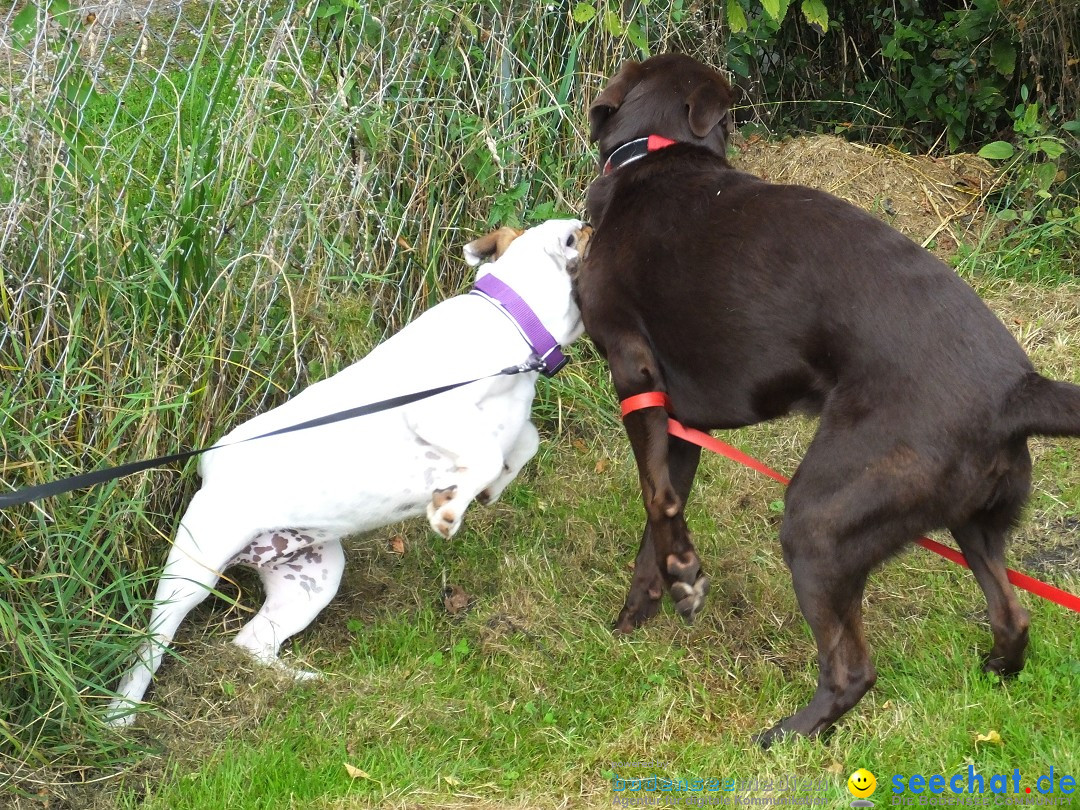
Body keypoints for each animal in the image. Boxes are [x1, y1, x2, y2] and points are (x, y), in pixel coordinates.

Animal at [109, 219, 591, 725]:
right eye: (588, 233)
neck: (513, 322)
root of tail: (213, 464)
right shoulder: (434, 409)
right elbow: (486, 455)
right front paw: (450, 509)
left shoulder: (511, 422)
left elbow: (522, 445)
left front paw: (486, 490)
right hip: (193, 572)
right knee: (149, 649)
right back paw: (120, 715)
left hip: (313, 579)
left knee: (251, 643)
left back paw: (302, 681)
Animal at [578, 52, 1080, 747]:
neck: (652, 153)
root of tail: (1016, 390)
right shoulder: (678, 425)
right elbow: (657, 525)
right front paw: (648, 607)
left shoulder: (634, 371)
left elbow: (656, 500)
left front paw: (676, 578)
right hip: (971, 520)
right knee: (1013, 616)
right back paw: (994, 672)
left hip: (819, 521)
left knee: (853, 669)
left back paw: (787, 734)